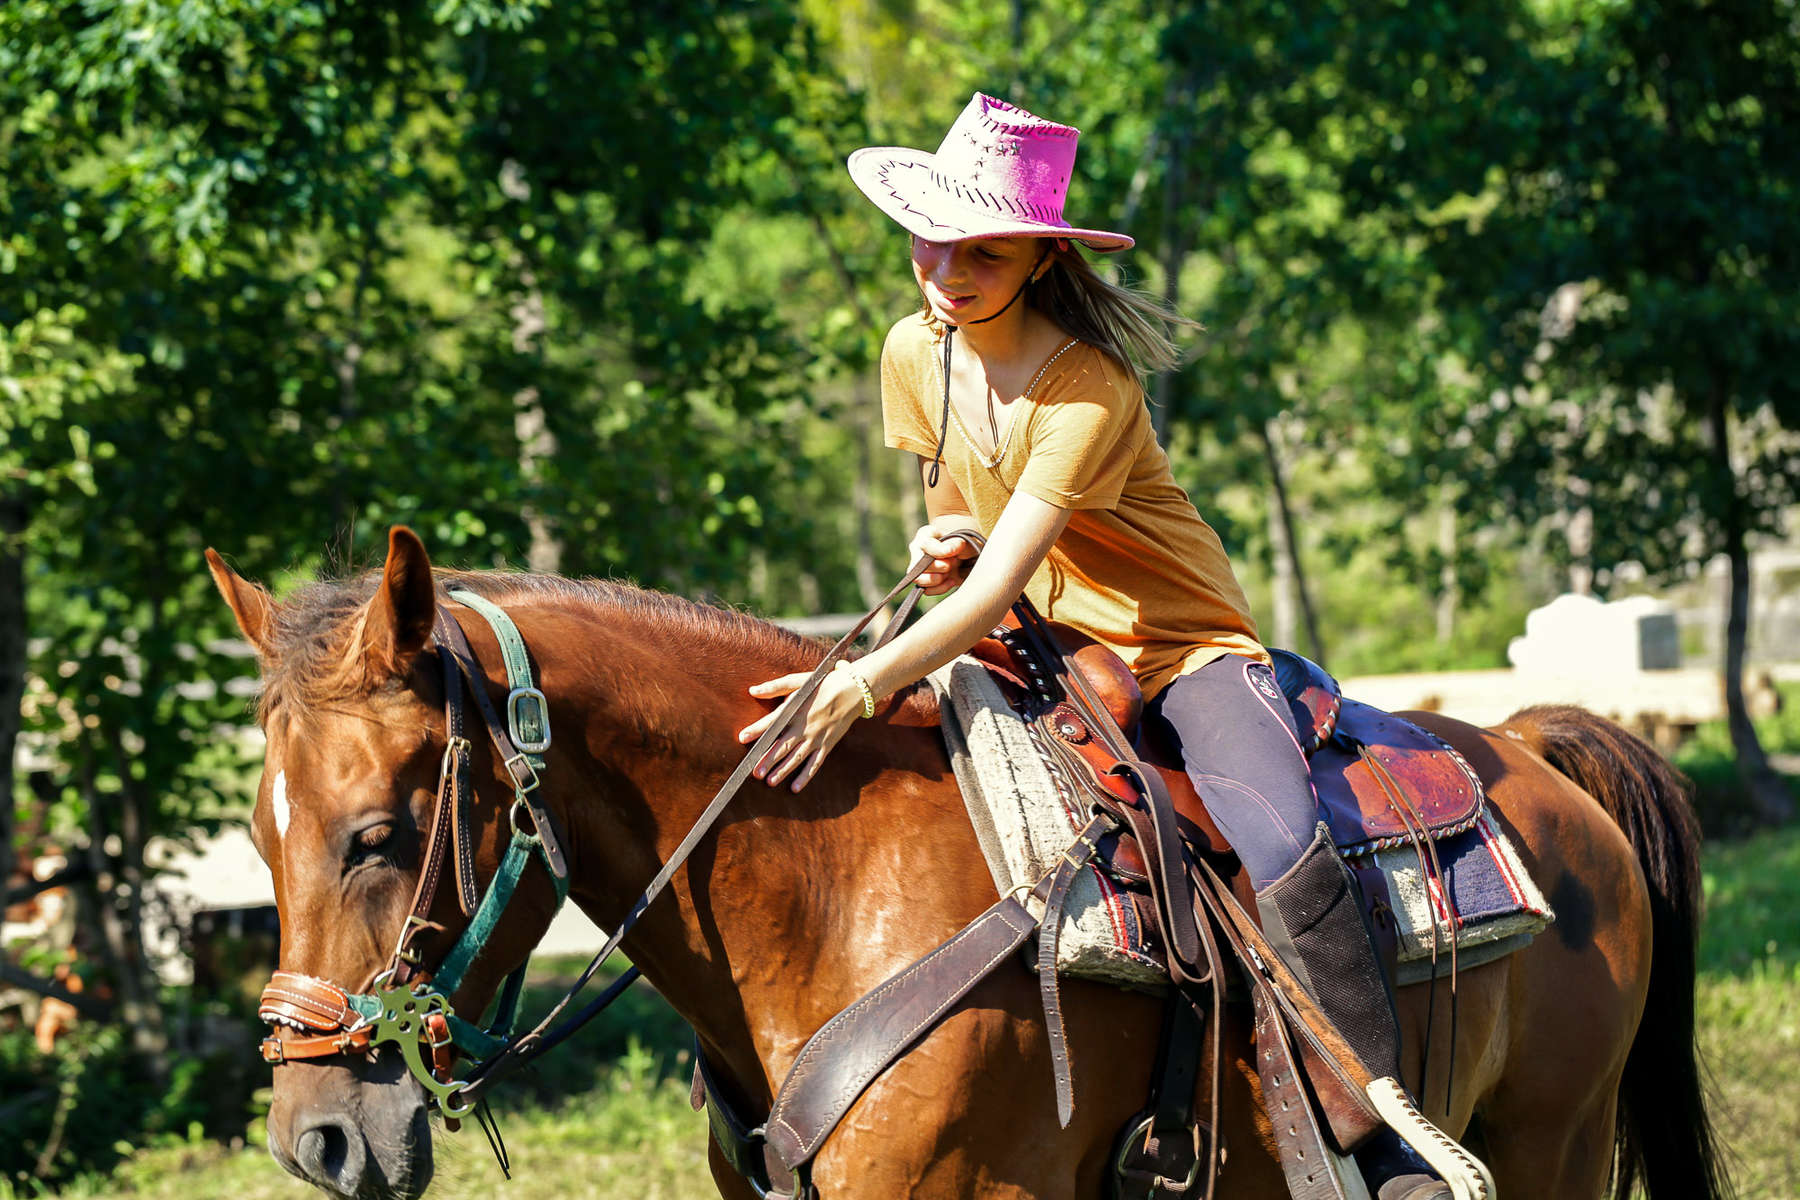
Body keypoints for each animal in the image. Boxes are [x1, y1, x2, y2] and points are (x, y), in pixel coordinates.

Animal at [210, 532, 1728, 1200]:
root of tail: (1537, 749)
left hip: (1551, 1146)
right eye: (261, 838)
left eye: (378, 835)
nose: (316, 1139)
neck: (827, 896)